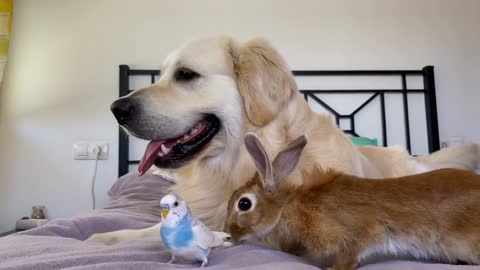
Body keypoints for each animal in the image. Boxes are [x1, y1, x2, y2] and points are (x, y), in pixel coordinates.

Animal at [224, 133, 480, 270]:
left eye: (244, 204)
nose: (227, 234)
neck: (289, 206)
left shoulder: (357, 235)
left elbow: (351, 255)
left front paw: (332, 268)